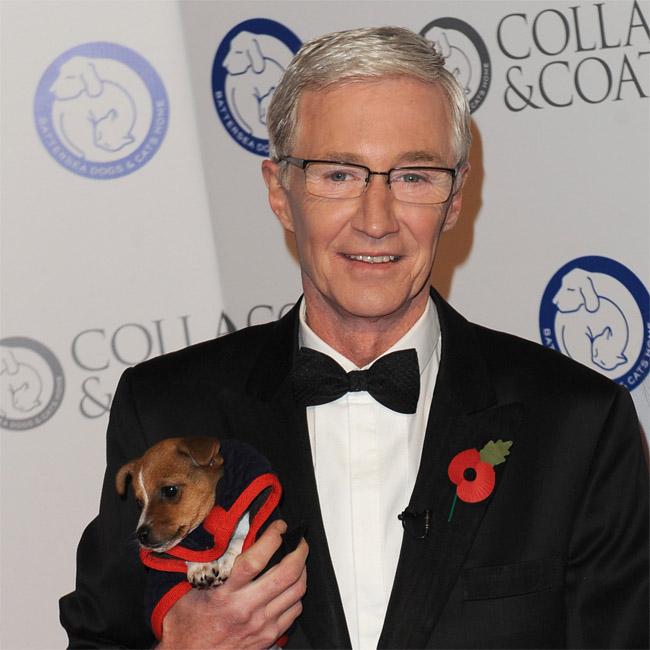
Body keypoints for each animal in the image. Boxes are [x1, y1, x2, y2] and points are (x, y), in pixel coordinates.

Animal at [116, 436, 248, 588]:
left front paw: (225, 560)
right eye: (139, 502)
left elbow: (239, 538)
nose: (141, 535)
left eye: (170, 490)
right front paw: (199, 565)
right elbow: (190, 552)